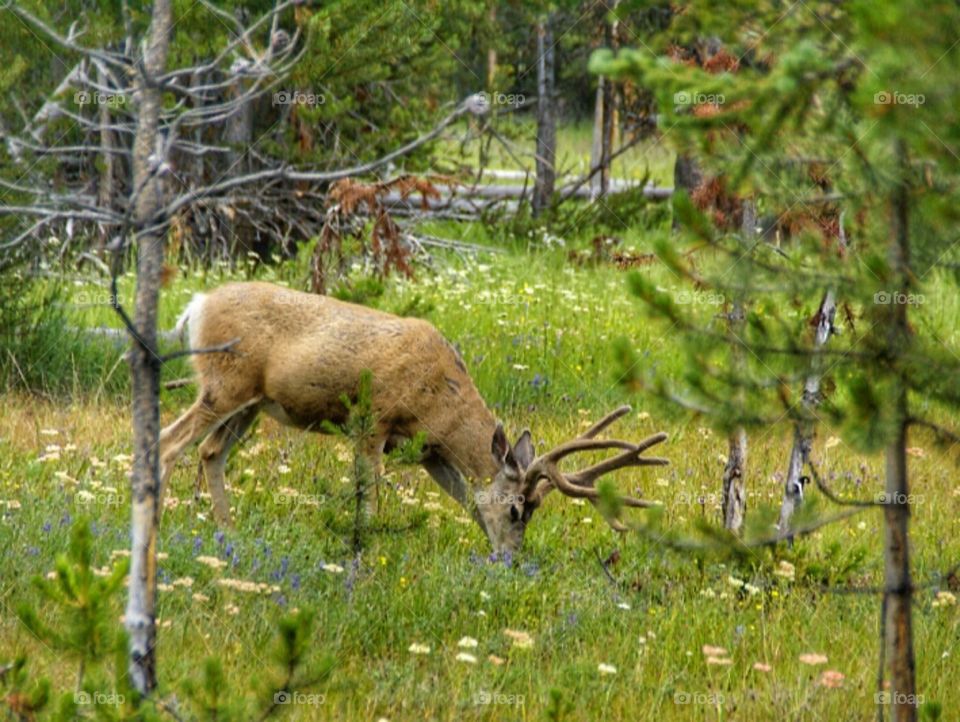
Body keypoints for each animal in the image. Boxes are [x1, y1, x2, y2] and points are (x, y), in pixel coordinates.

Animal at [159, 281, 670, 553]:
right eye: (517, 509)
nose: (511, 558)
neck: (439, 401)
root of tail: (196, 305)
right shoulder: (374, 421)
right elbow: (368, 495)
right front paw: (362, 548)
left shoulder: (428, 451)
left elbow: (467, 501)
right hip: (224, 385)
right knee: (169, 440)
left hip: (249, 403)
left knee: (210, 451)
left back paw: (228, 532)